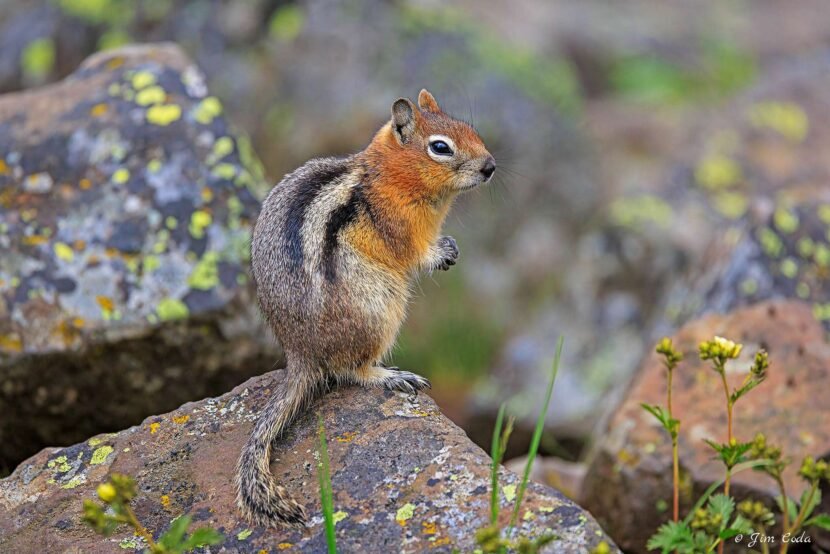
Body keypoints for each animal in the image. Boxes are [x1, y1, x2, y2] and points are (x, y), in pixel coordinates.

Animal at [237, 89, 496, 527]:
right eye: (440, 147)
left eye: (472, 131)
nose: (491, 167)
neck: (389, 176)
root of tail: (300, 354)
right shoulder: (400, 228)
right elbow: (414, 254)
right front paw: (442, 252)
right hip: (381, 306)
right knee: (349, 370)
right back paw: (391, 376)